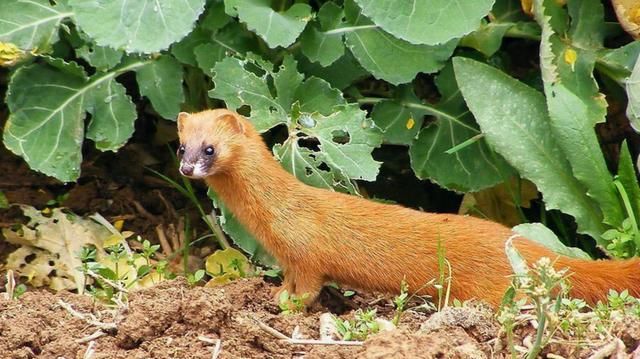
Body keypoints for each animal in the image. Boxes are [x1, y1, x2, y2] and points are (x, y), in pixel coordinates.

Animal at [176, 109, 640, 306]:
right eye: (182, 145)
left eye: (210, 147)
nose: (185, 166)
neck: (274, 217)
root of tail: (526, 245)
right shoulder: (288, 259)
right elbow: (290, 281)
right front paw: (277, 295)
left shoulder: (306, 254)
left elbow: (308, 288)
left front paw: (289, 306)